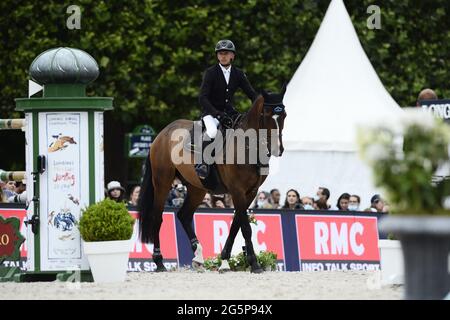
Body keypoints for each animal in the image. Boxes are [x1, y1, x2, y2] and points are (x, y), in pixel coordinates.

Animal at [137, 85, 286, 272]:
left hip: (196, 188)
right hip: (162, 182)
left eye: (284, 115)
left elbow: (236, 224)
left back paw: (198, 257)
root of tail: (163, 133)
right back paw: (159, 262)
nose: (278, 149)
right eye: (266, 114)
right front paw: (254, 263)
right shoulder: (237, 190)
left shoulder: (251, 192)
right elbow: (245, 227)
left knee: (184, 215)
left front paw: (224, 260)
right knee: (157, 217)